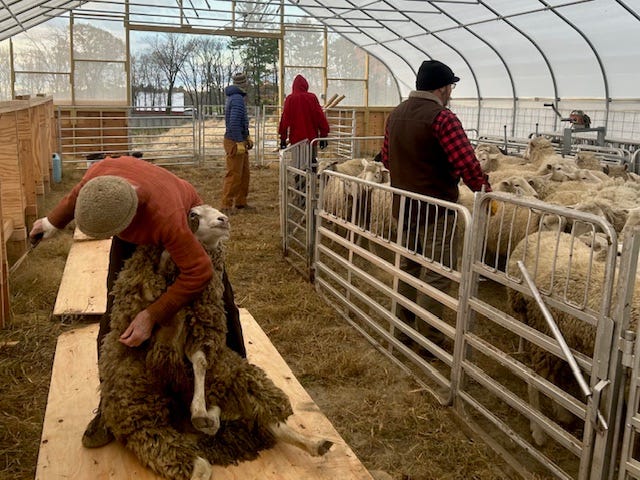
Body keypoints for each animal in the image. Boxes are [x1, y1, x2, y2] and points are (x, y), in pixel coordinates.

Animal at [99, 205, 333, 480]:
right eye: (194, 213)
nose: (224, 219)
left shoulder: (199, 332)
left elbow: (200, 362)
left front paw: (201, 410)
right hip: (143, 414)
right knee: (193, 459)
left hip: (236, 384)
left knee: (268, 423)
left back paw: (314, 443)